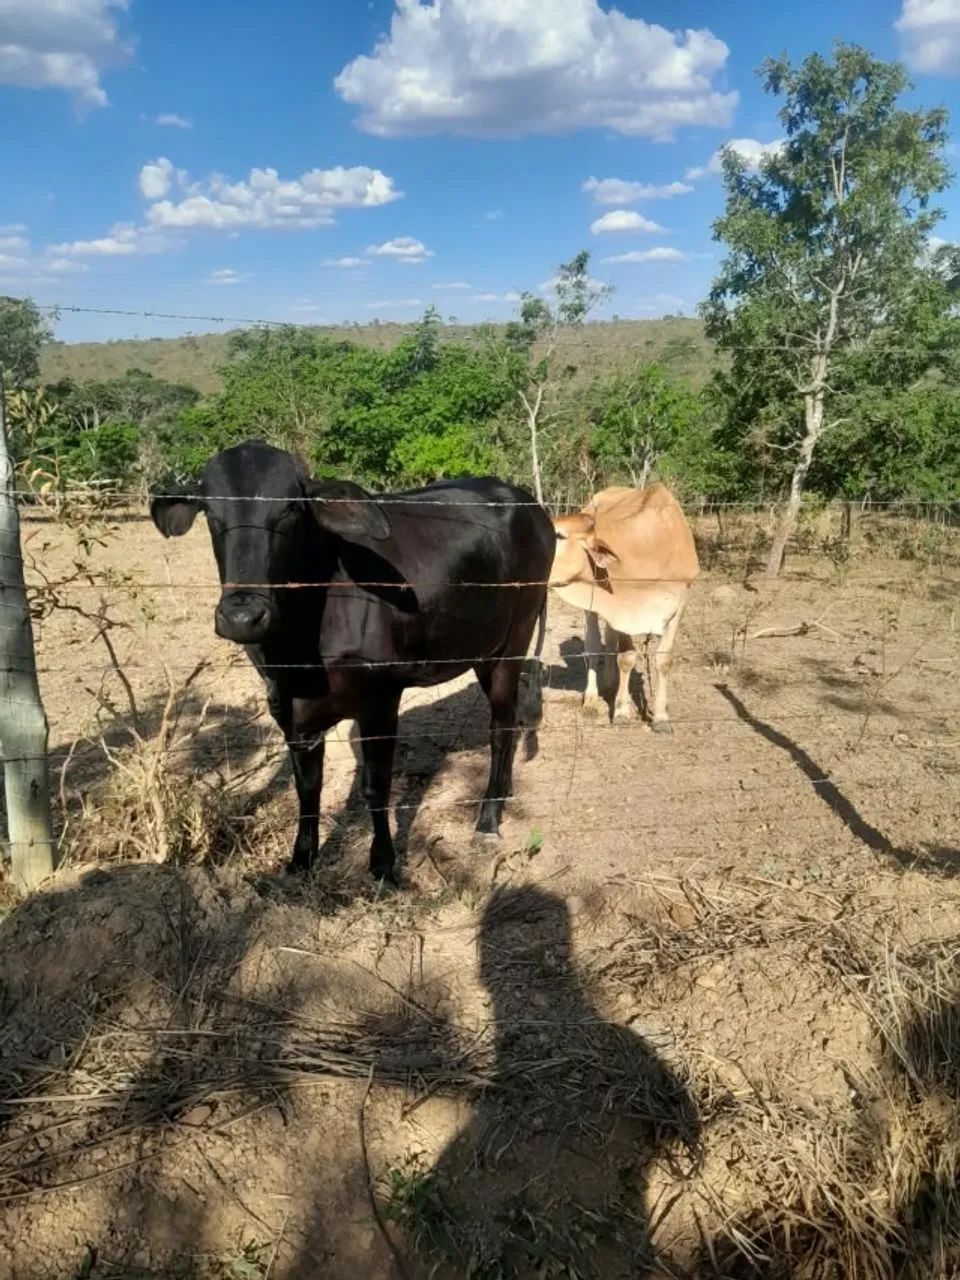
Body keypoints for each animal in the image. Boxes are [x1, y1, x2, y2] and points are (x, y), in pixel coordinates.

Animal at [150, 441, 554, 883]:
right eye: (210, 512)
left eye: (290, 509)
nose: (243, 616)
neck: (298, 650)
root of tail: (529, 503)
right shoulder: (289, 708)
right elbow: (307, 786)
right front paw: (301, 859)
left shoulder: (381, 698)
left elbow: (376, 786)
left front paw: (383, 864)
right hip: (483, 649)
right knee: (510, 721)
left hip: (514, 641)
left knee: (501, 726)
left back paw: (488, 817)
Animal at [550, 484, 699, 732]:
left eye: (559, 535)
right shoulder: (623, 612)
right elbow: (627, 658)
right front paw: (621, 711)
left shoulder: (680, 604)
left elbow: (664, 660)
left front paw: (661, 717)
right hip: (592, 607)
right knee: (594, 645)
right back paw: (592, 698)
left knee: (609, 640)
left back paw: (610, 682)